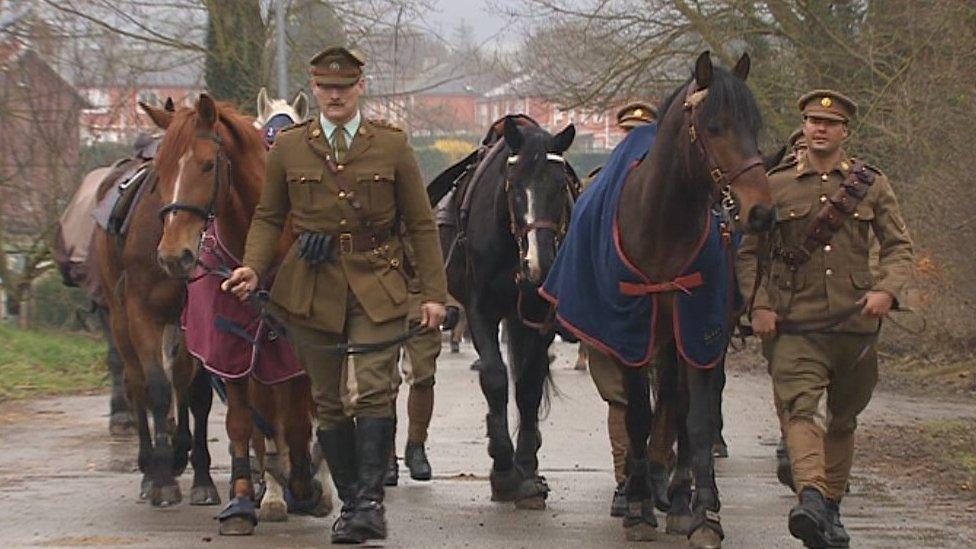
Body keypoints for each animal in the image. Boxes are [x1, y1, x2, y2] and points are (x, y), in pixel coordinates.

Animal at [430, 116, 576, 510]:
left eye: (561, 186)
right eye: (513, 186)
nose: (540, 263)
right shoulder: (480, 307)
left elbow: (528, 385)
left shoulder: (540, 314)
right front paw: (504, 468)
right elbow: (495, 377)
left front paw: (525, 465)